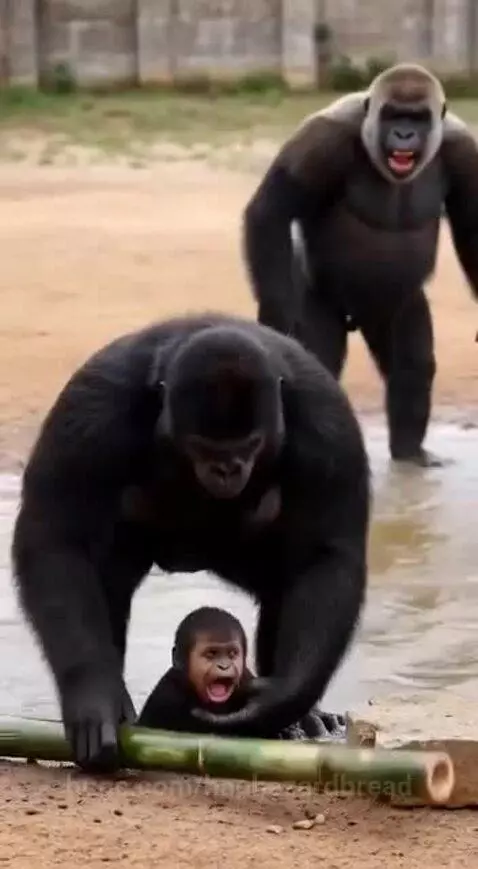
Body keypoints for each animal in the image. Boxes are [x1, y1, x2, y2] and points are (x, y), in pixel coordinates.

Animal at [242, 62, 478, 468]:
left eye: (417, 117)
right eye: (394, 115)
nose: (404, 133)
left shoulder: (465, 152)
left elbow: (473, 227)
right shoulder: (323, 140)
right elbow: (271, 210)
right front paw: (275, 316)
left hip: (394, 306)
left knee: (411, 364)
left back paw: (409, 451)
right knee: (316, 361)